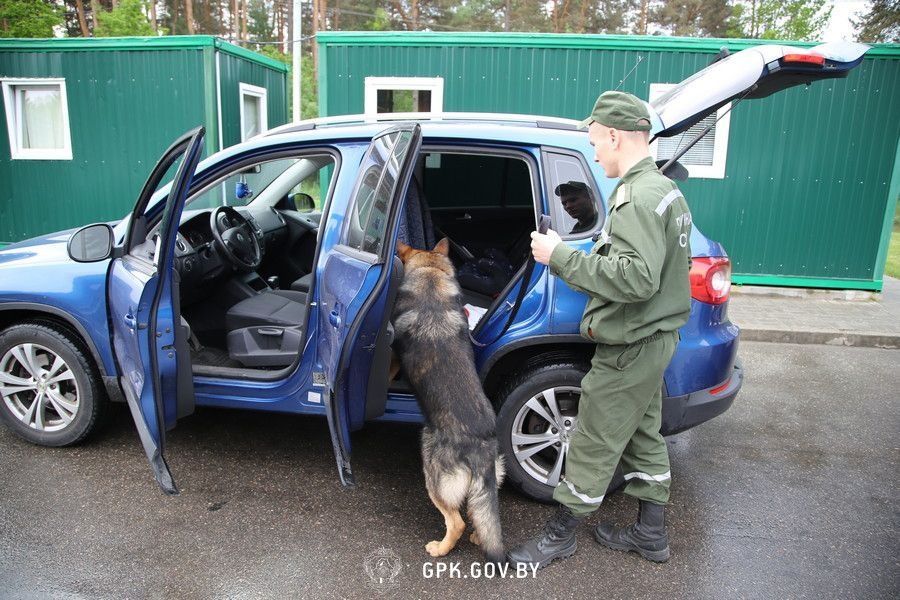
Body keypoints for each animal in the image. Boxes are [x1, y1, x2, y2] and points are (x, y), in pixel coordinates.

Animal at [394, 238, 506, 564]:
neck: (431, 278)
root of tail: (480, 446)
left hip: (432, 473)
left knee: (455, 521)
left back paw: (440, 548)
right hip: (487, 482)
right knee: (477, 513)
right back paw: (479, 535)